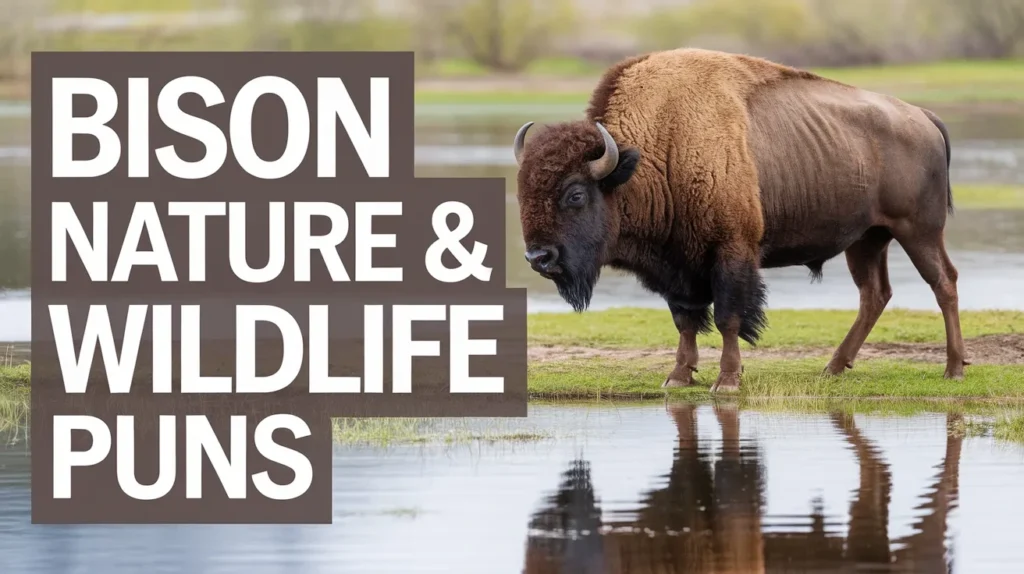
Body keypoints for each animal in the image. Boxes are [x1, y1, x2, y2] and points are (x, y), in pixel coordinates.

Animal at [512, 48, 968, 393]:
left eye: (575, 194)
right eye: (521, 192)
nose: (538, 257)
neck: (659, 150)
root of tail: (923, 116)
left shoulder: (731, 253)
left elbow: (728, 317)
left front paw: (727, 380)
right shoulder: (678, 266)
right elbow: (685, 321)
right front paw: (678, 377)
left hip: (918, 231)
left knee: (943, 282)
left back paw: (953, 369)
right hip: (867, 239)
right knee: (874, 294)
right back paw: (834, 367)